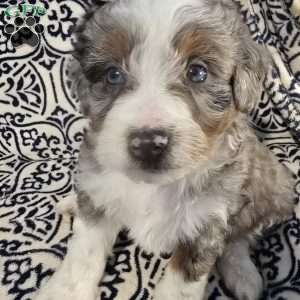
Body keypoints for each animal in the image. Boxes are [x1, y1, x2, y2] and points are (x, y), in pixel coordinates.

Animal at [35, 0, 296, 300]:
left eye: (198, 72)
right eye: (113, 74)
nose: (148, 144)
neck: (153, 187)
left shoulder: (206, 223)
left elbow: (181, 284)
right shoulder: (98, 193)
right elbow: (83, 255)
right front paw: (63, 293)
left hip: (272, 190)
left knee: (240, 236)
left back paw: (243, 276)